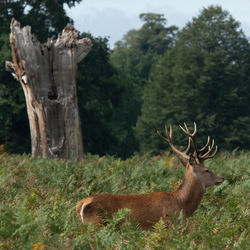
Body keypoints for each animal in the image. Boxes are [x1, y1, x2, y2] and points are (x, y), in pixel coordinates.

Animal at [75, 122, 224, 229]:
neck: (181, 204)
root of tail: (82, 203)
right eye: (207, 170)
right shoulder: (168, 223)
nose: (221, 178)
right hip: (95, 223)